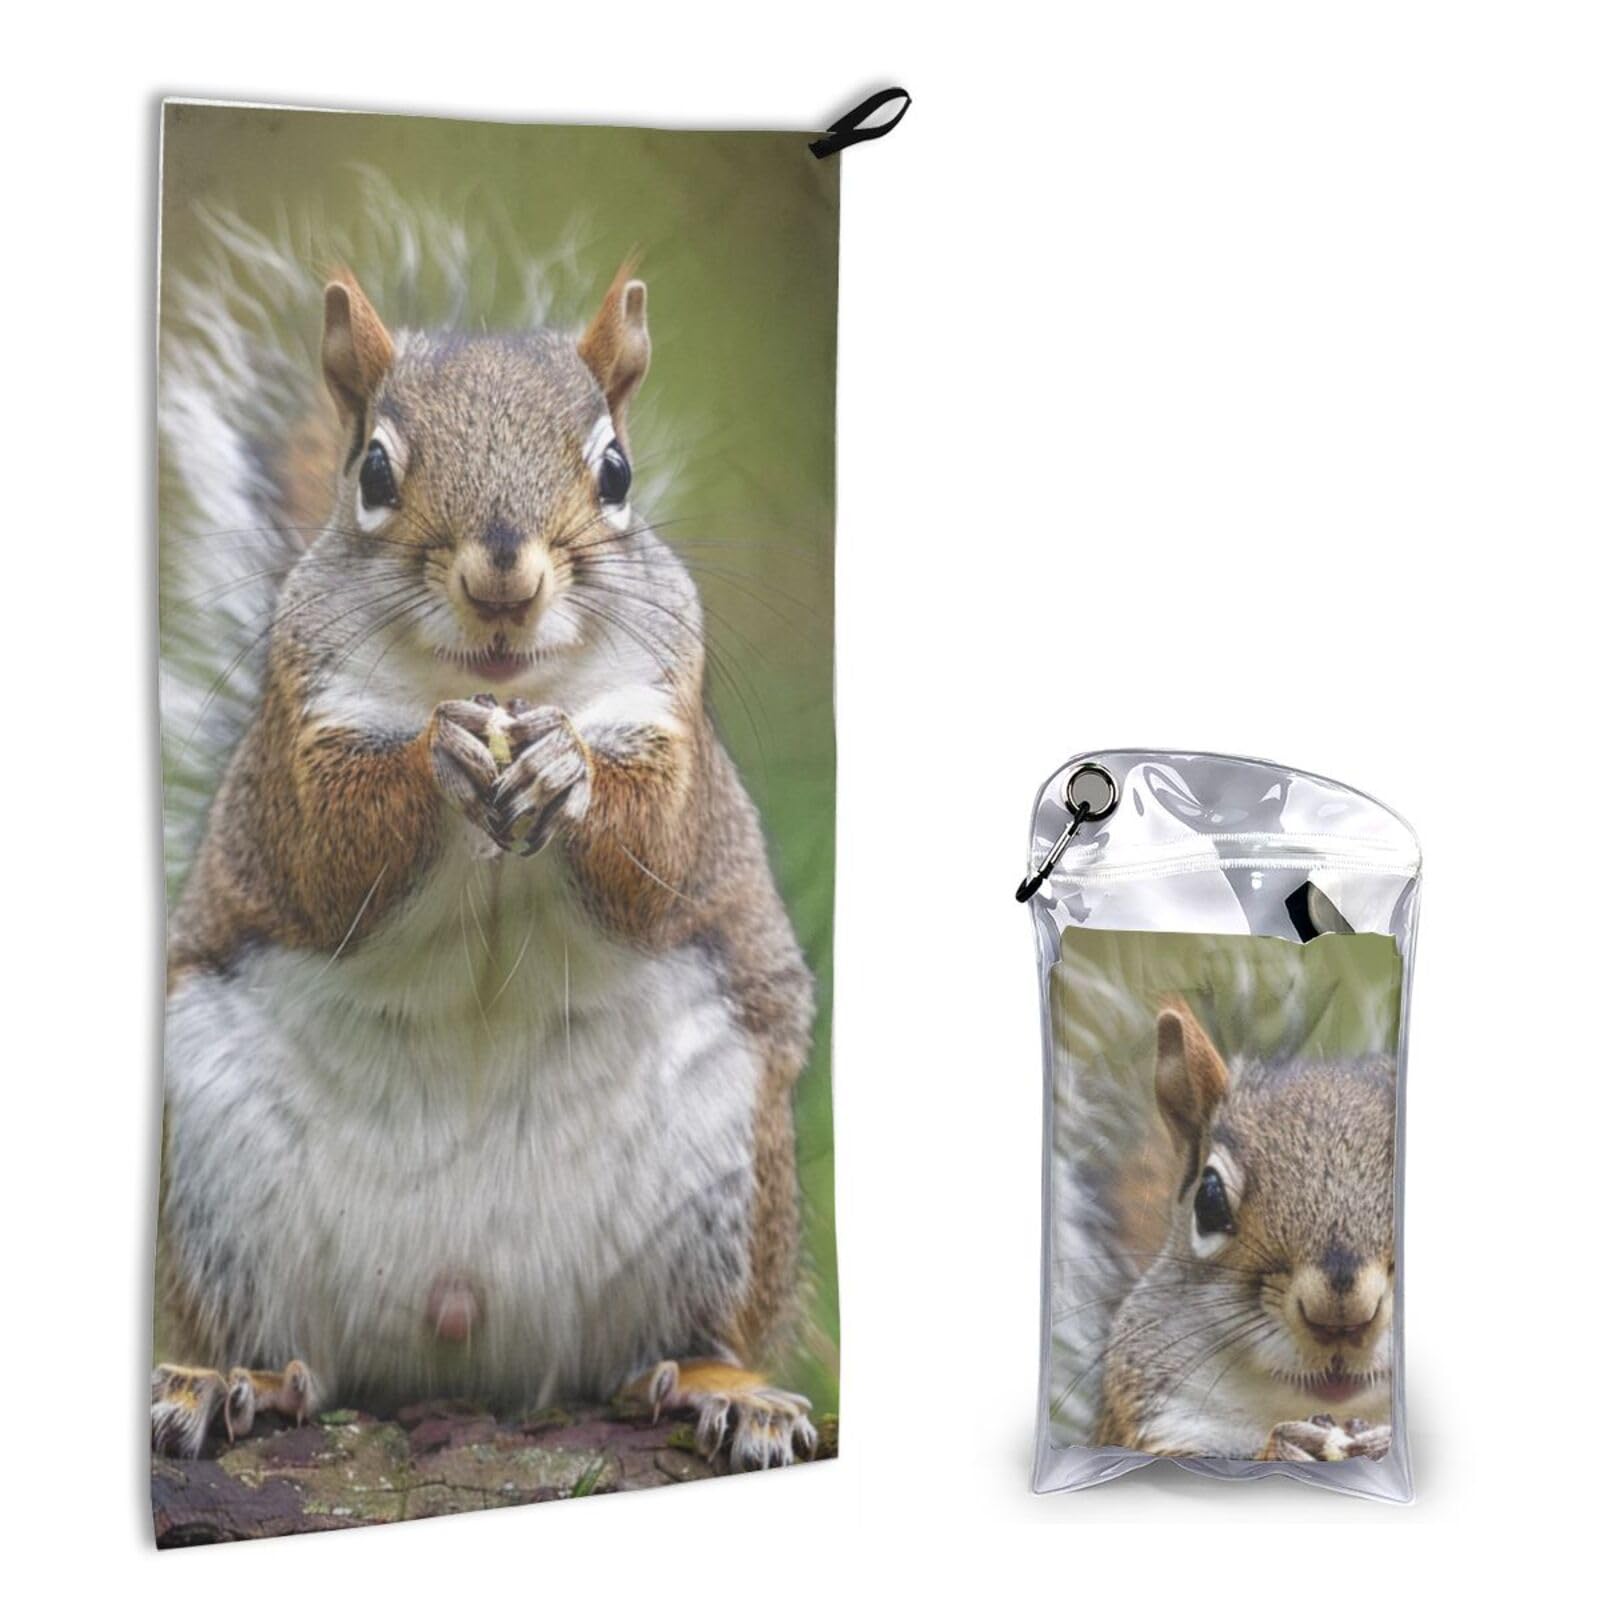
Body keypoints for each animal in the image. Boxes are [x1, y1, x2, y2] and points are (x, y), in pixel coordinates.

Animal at [153, 237, 817, 1472]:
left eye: (617, 470)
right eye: (372, 469)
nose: (502, 576)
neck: (500, 682)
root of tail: (471, 1340)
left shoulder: (672, 714)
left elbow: (656, 849)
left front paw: (570, 772)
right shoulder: (298, 731)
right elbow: (327, 857)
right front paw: (434, 757)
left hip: (726, 1183)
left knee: (684, 1336)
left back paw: (724, 1389)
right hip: (221, 1187)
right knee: (271, 1338)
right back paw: (233, 1378)